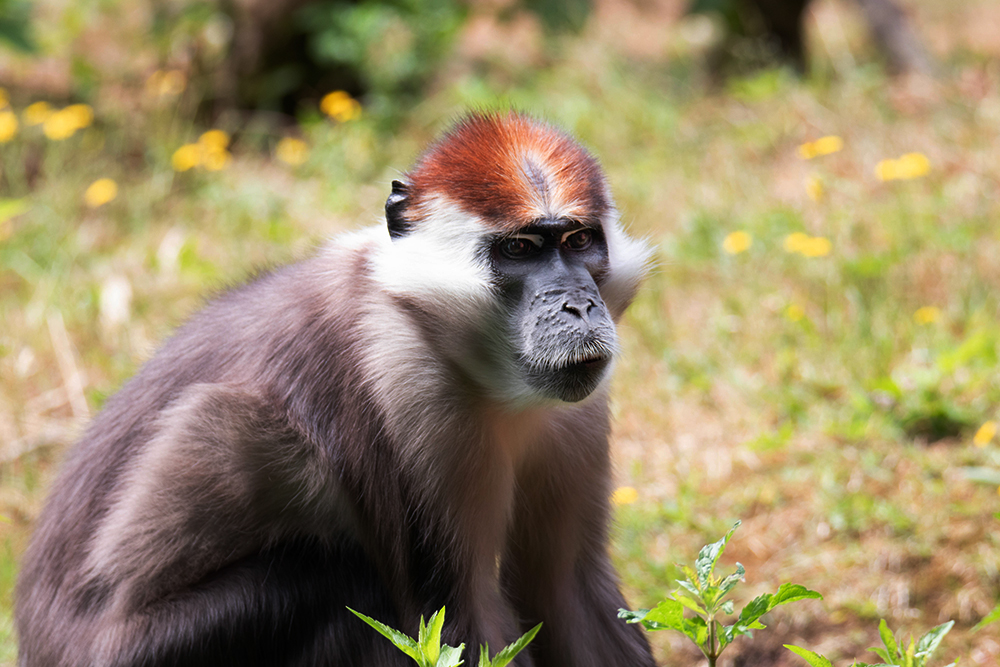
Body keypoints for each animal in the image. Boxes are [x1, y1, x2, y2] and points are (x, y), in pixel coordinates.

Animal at [17, 111, 656, 667]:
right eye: (520, 248)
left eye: (578, 241)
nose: (578, 305)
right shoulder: (412, 390)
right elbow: (455, 620)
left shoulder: (577, 404)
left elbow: (568, 592)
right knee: (344, 578)